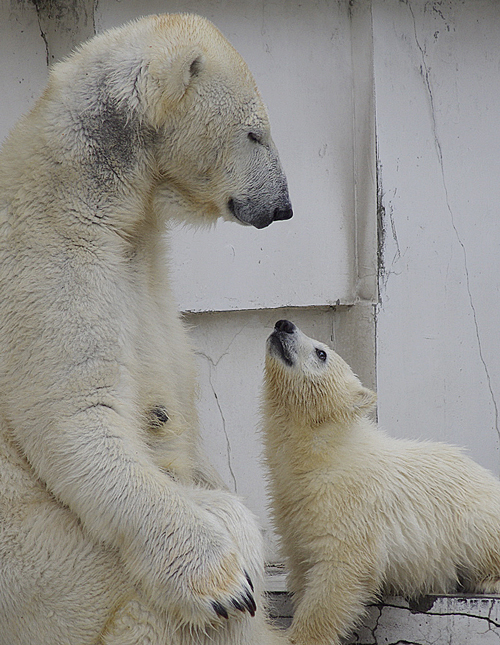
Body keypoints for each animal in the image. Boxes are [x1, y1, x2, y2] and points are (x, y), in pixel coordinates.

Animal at [0, 11, 292, 644]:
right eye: (255, 134)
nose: (283, 206)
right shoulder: (50, 267)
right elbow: (79, 417)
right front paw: (222, 583)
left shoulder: (146, 269)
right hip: (55, 575)